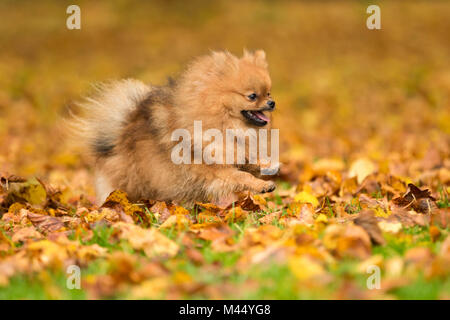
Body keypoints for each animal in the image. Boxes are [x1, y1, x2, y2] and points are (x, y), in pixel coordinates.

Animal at [70, 50, 276, 205]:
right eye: (252, 96)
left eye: (268, 93)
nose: (272, 102)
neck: (222, 122)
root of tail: (117, 135)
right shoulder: (215, 169)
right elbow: (242, 177)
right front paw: (263, 185)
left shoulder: (234, 152)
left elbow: (250, 161)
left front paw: (267, 165)